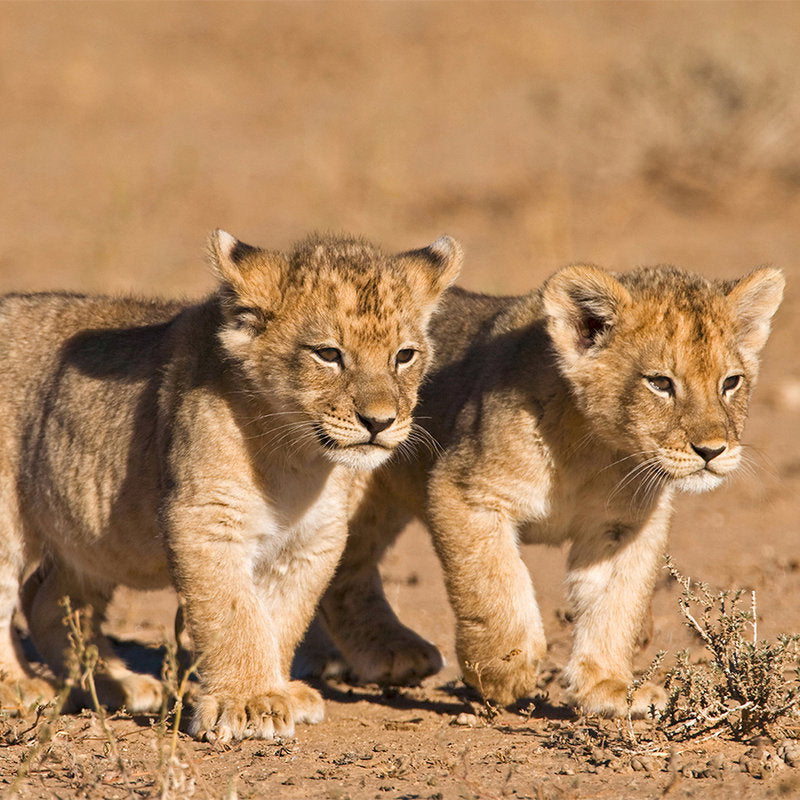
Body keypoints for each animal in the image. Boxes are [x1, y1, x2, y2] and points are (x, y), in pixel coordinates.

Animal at [0, 229, 462, 741]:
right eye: (328, 354)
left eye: (404, 355)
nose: (380, 422)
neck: (295, 457)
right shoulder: (204, 521)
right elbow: (234, 615)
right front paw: (250, 703)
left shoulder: (311, 541)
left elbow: (281, 618)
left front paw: (280, 692)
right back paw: (19, 688)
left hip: (93, 538)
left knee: (49, 600)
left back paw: (119, 685)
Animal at [298, 263, 784, 717]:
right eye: (660, 383)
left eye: (731, 382)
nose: (712, 450)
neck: (596, 450)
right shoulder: (465, 490)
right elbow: (494, 584)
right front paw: (503, 670)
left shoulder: (622, 527)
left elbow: (616, 604)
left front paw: (609, 688)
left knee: (348, 570)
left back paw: (383, 652)